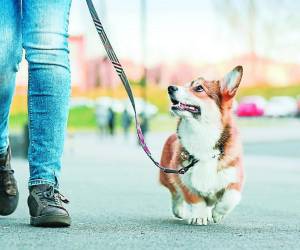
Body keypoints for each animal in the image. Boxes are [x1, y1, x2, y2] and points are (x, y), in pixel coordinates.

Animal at [159, 66, 244, 225]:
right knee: (175, 194)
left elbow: (230, 198)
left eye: (199, 88)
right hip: (166, 175)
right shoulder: (183, 179)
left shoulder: (235, 178)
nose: (170, 88)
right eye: (185, 85)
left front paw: (218, 213)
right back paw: (179, 210)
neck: (202, 134)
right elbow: (195, 199)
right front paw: (200, 216)